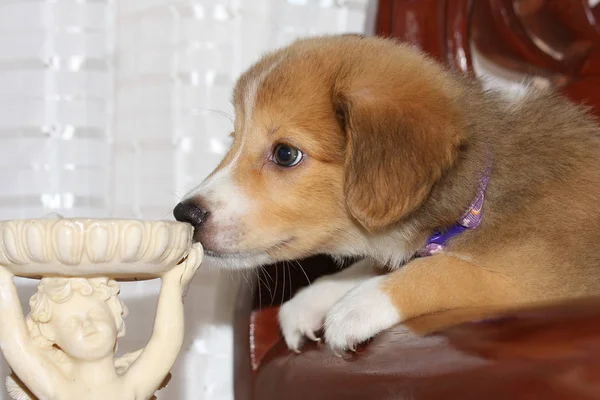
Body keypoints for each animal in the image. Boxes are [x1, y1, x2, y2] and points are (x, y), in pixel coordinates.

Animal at [172, 35, 600, 354]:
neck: (479, 190)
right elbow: (377, 263)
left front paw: (356, 306)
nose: (184, 214)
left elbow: (446, 269)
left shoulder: (546, 284)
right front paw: (315, 297)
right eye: (234, 141)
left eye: (285, 154)